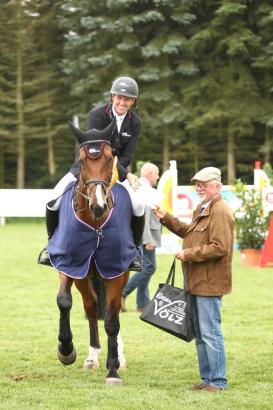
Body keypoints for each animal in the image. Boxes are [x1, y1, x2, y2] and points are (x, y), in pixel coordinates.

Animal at [47, 118, 137, 384]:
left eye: (109, 158)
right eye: (82, 160)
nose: (98, 206)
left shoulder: (116, 271)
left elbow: (112, 320)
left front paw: (113, 369)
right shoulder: (69, 263)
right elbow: (64, 301)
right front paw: (66, 350)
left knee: (110, 311)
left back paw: (116, 357)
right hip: (86, 277)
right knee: (90, 306)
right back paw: (92, 356)